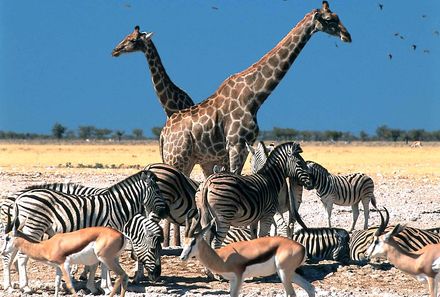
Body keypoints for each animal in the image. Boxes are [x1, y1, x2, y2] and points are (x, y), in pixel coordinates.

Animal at [1, 208, 129, 296]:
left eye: (7, 238)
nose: (2, 252)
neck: (47, 246)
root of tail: (121, 235)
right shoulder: (58, 267)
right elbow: (57, 284)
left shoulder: (64, 264)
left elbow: (69, 285)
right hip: (114, 259)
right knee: (125, 276)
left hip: (105, 259)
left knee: (120, 275)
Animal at [161, 1, 350, 177]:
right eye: (329, 19)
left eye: (338, 16)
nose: (347, 36)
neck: (254, 97)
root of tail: (163, 134)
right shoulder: (236, 144)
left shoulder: (246, 145)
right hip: (177, 158)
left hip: (193, 160)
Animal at [179, 209, 316, 294]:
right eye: (184, 242)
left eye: (193, 242)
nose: (182, 257)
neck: (221, 257)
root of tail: (302, 247)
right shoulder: (232, 280)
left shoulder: (239, 278)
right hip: (290, 273)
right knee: (310, 288)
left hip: (283, 273)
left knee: (292, 293)